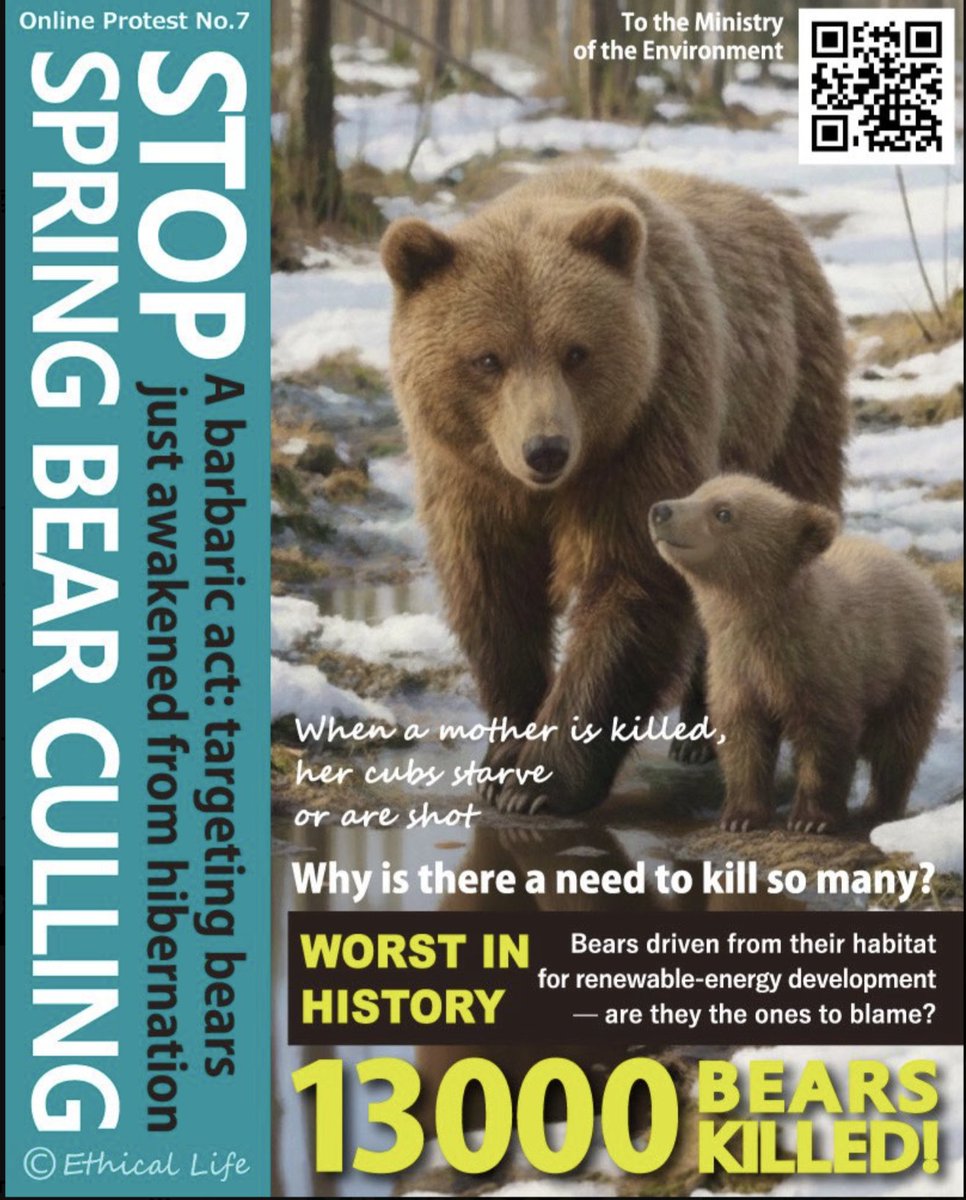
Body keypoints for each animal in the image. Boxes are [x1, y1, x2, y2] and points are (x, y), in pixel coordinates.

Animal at [380, 164, 849, 815]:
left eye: (576, 351)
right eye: (487, 358)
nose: (545, 449)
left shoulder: (648, 426)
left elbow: (631, 579)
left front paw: (540, 781)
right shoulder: (469, 475)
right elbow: (494, 591)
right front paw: (503, 758)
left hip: (786, 409)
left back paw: (701, 733)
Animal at [649, 474, 951, 833]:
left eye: (723, 512)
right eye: (696, 491)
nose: (660, 510)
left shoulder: (823, 666)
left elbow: (824, 741)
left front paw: (811, 820)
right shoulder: (736, 668)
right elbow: (744, 739)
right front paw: (740, 816)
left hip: (910, 667)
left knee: (897, 743)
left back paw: (879, 808)